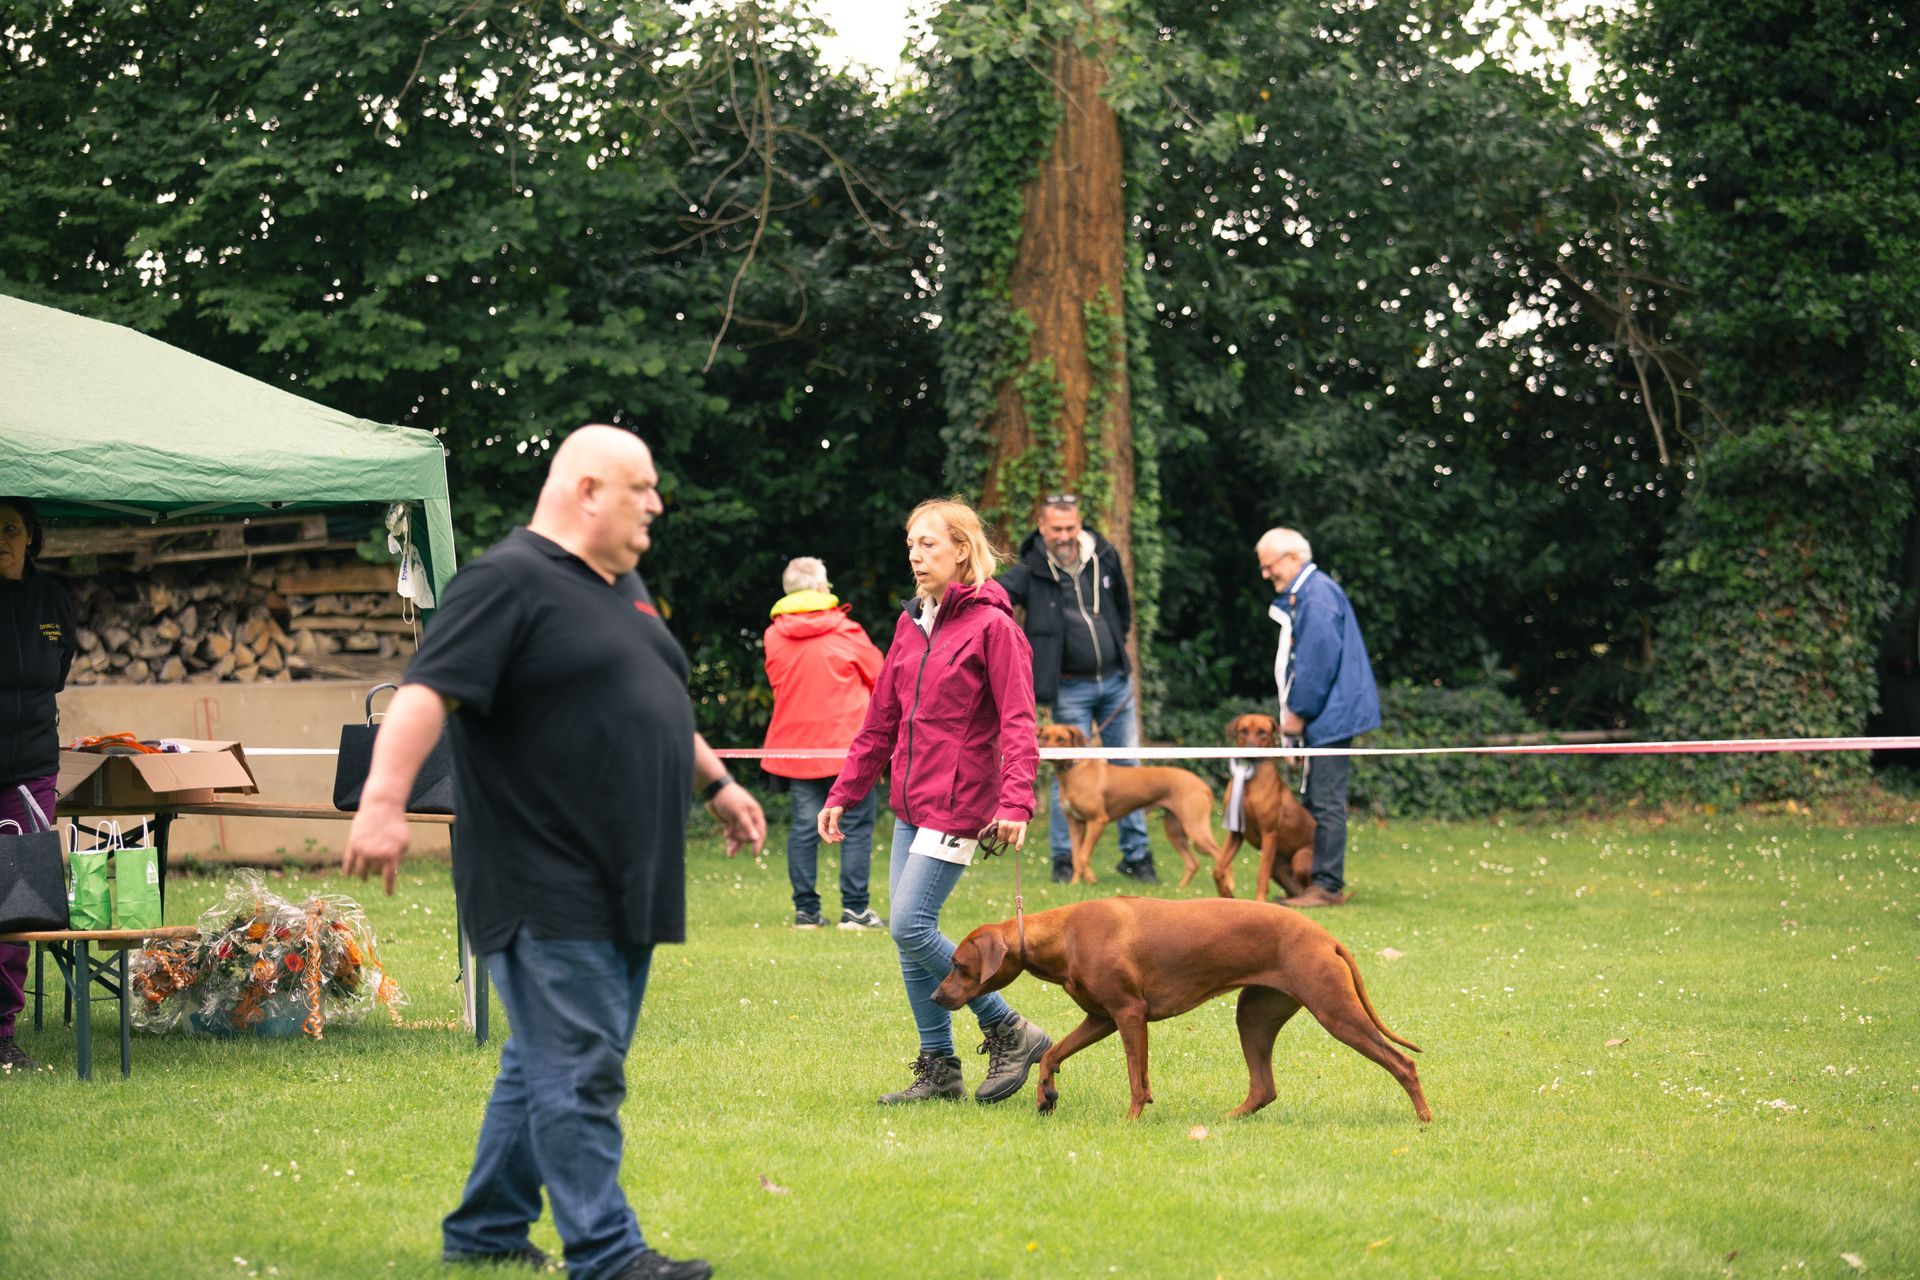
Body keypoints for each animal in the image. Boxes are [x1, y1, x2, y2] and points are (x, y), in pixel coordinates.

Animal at [933, 896, 1431, 1123]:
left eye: (958, 965)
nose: (935, 998)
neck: (1062, 935)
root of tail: (1324, 934)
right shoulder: (1101, 1019)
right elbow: (1051, 1055)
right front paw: (1045, 1096)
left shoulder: (1129, 1014)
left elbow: (1137, 1078)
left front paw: (1132, 1120)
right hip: (1255, 1015)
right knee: (1264, 1087)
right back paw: (1228, 1122)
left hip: (1335, 1012)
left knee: (1402, 1063)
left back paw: (1424, 1120)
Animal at [1038, 722, 1224, 888]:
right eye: (1045, 737)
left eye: (1061, 739)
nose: (1048, 755)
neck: (1074, 771)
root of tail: (1202, 784)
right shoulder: (1075, 824)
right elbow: (1076, 857)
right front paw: (1075, 884)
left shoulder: (1097, 821)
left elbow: (1083, 855)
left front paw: (1091, 881)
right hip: (1175, 830)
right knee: (1193, 863)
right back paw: (1180, 889)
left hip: (1195, 827)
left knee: (1220, 854)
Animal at [1219, 713, 1316, 901]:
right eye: (1243, 731)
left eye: (1262, 732)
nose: (1250, 749)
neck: (1249, 779)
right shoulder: (1236, 832)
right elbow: (1218, 868)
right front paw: (1225, 894)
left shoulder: (1269, 834)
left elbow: (1261, 875)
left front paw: (1259, 902)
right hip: (1277, 866)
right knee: (1295, 889)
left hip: (1300, 857)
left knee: (1309, 886)